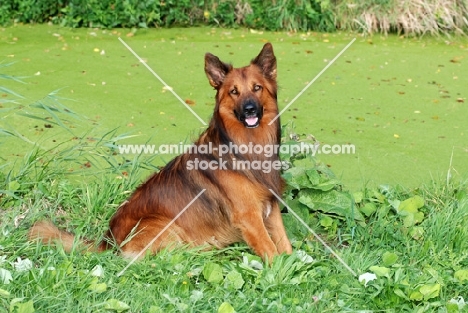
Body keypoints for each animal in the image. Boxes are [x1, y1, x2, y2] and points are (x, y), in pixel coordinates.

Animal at [28, 42, 292, 262]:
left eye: (257, 88)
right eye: (234, 92)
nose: (249, 110)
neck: (246, 144)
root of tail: (107, 242)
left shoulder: (271, 208)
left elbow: (285, 245)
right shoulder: (249, 216)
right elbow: (271, 250)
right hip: (164, 225)